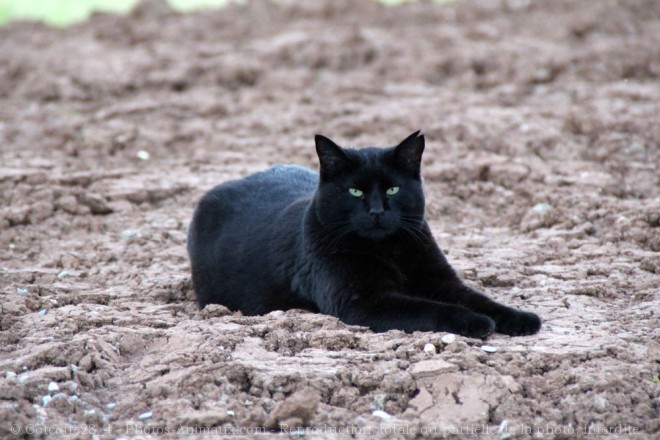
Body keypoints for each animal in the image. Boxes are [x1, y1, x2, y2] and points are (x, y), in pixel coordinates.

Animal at [186, 131, 540, 336]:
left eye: (393, 189)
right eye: (355, 191)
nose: (376, 211)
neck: (390, 249)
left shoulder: (440, 281)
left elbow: (480, 299)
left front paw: (520, 319)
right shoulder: (363, 302)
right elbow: (430, 308)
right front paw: (475, 323)